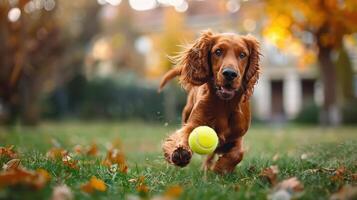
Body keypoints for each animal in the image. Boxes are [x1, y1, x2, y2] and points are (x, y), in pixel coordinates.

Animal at [158, 30, 258, 173]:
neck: (224, 104)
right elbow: (182, 136)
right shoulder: (193, 124)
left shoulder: (238, 136)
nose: (230, 74)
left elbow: (238, 153)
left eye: (242, 54)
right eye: (218, 51)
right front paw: (180, 152)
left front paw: (221, 168)